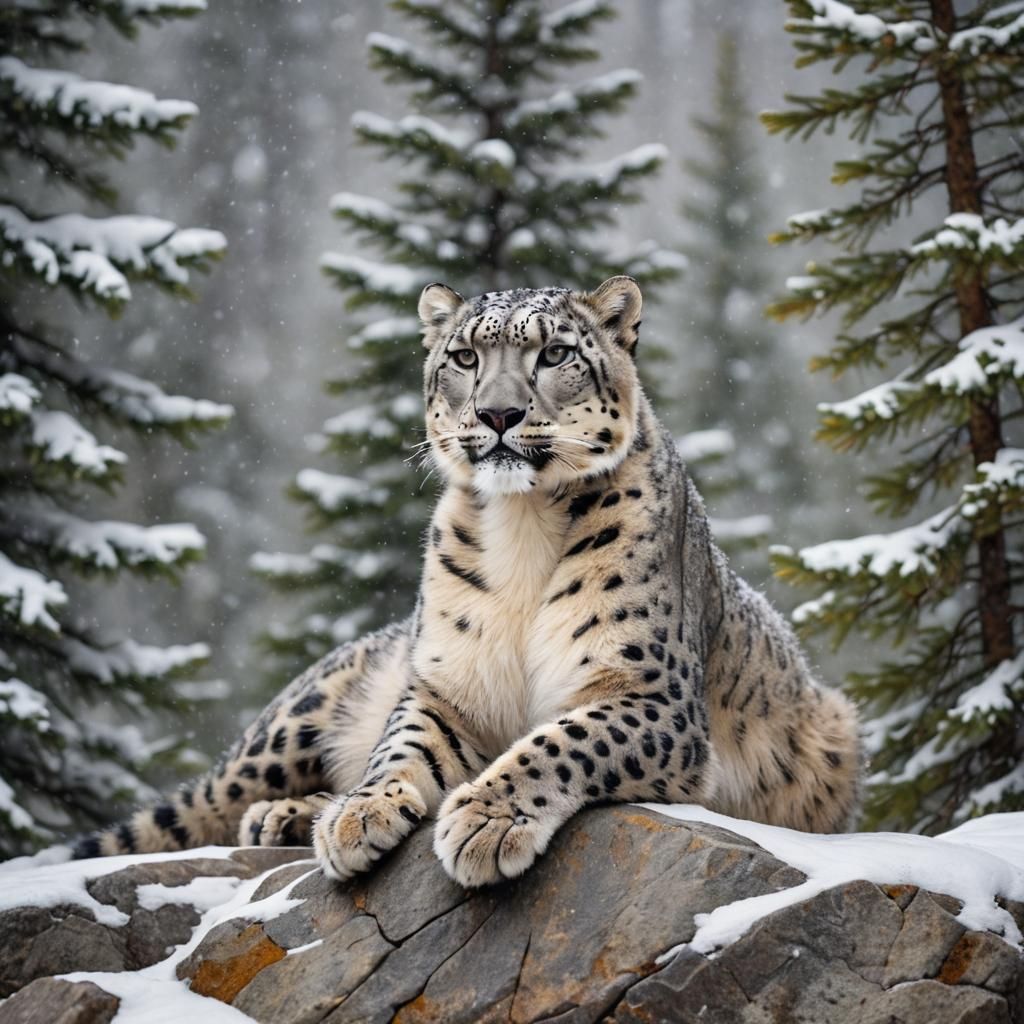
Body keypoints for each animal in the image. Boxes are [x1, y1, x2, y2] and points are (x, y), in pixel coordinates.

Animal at [72, 276, 862, 888]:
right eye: (464, 356)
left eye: (554, 353)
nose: (499, 413)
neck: (523, 527)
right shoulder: (448, 680)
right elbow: (403, 743)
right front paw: (363, 813)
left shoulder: (649, 691)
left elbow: (565, 738)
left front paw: (487, 819)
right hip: (300, 716)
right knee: (209, 801)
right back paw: (292, 812)